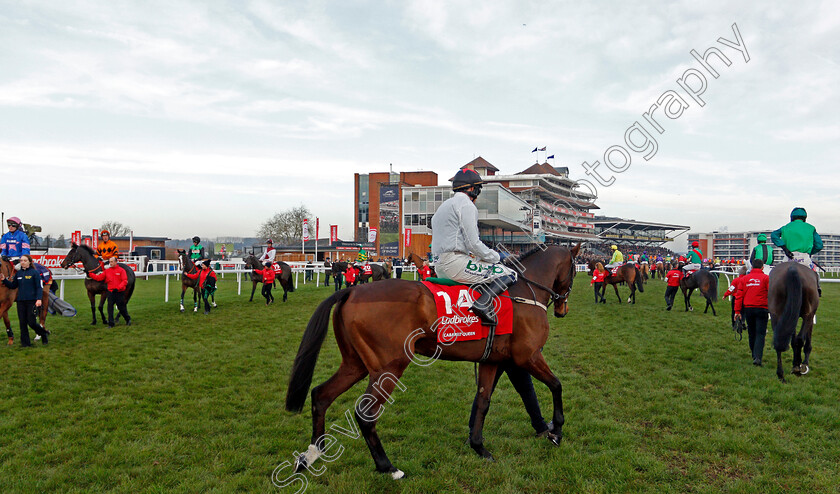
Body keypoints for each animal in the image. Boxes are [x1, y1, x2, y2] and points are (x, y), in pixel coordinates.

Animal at [286, 243, 580, 478]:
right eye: (575, 272)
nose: (562, 308)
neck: (525, 291)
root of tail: (352, 292)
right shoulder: (528, 355)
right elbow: (557, 385)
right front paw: (556, 430)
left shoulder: (493, 360)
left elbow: (483, 401)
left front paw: (479, 446)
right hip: (388, 368)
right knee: (365, 414)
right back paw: (387, 467)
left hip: (354, 364)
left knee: (321, 394)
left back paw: (310, 456)